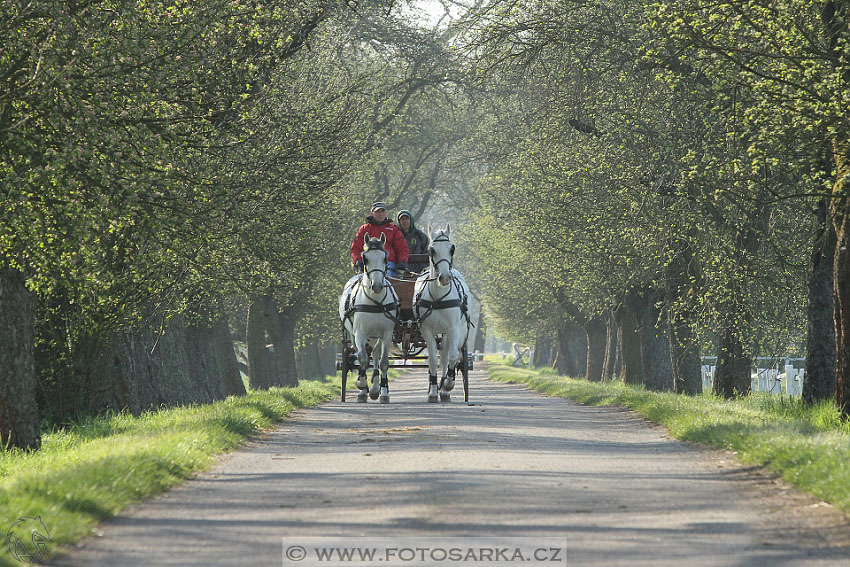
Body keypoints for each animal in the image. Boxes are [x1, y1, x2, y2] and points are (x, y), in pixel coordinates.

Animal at [338, 234, 398, 404]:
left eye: (385, 258)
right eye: (365, 258)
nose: (376, 286)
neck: (375, 301)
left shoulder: (387, 334)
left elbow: (383, 362)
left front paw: (382, 392)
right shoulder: (360, 333)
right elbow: (363, 358)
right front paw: (361, 385)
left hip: (376, 336)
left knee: (376, 356)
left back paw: (376, 388)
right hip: (354, 334)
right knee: (361, 354)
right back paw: (364, 390)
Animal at [412, 226, 470, 404]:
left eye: (452, 249)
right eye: (432, 250)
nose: (444, 278)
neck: (438, 298)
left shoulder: (453, 328)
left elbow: (452, 356)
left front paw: (448, 385)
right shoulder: (426, 330)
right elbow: (432, 360)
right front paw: (432, 391)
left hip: (450, 332)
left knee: (446, 355)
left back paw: (445, 388)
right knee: (441, 355)